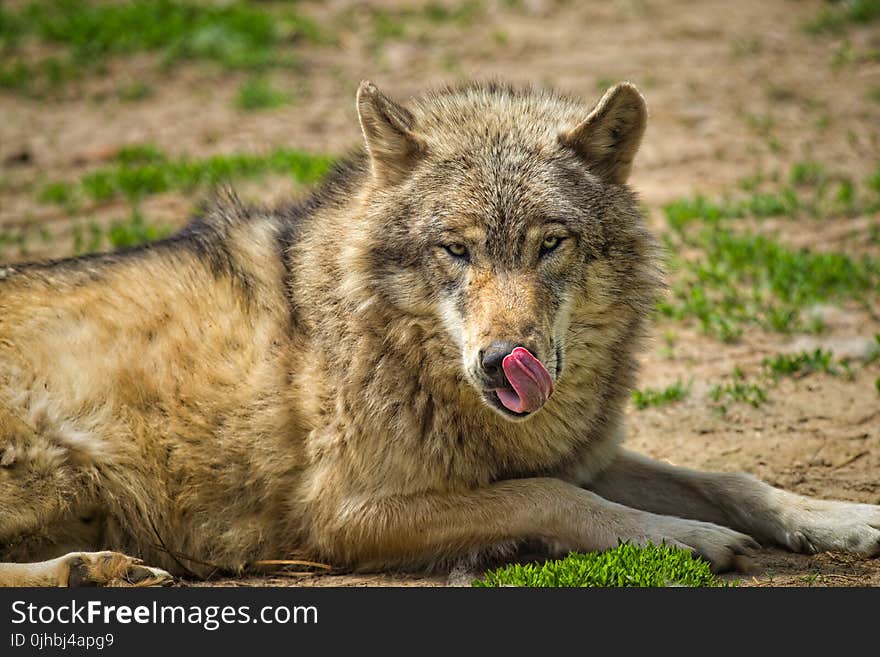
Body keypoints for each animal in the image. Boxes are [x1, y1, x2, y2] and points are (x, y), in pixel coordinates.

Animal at [1, 79, 880, 588]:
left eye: (549, 243)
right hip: (54, 464)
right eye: (455, 249)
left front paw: (842, 518)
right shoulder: (346, 516)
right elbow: (553, 497)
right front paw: (685, 539)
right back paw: (89, 569)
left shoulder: (582, 451)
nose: (501, 362)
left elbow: (734, 478)